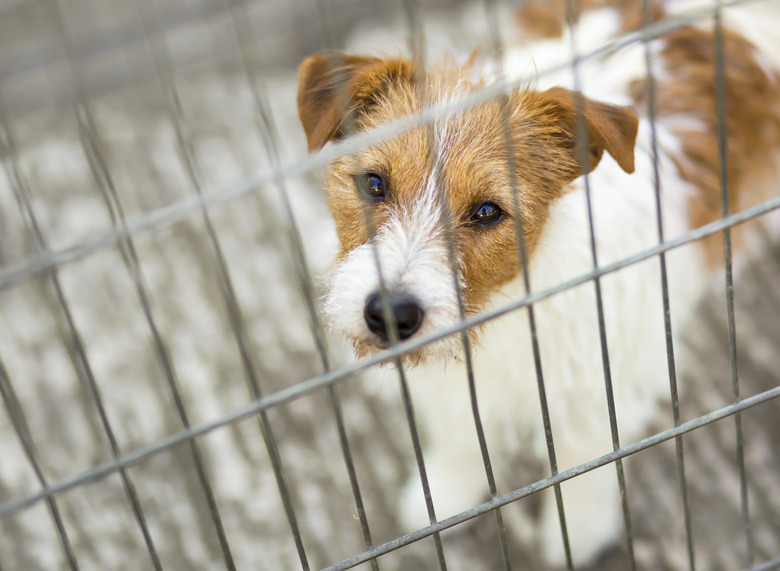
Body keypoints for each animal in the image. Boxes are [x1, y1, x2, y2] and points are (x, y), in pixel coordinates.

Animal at [294, 1, 780, 568]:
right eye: (374, 183)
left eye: (487, 211)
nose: (391, 314)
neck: (508, 304)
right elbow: (461, 437)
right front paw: (445, 496)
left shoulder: (603, 387)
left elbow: (588, 468)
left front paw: (578, 535)